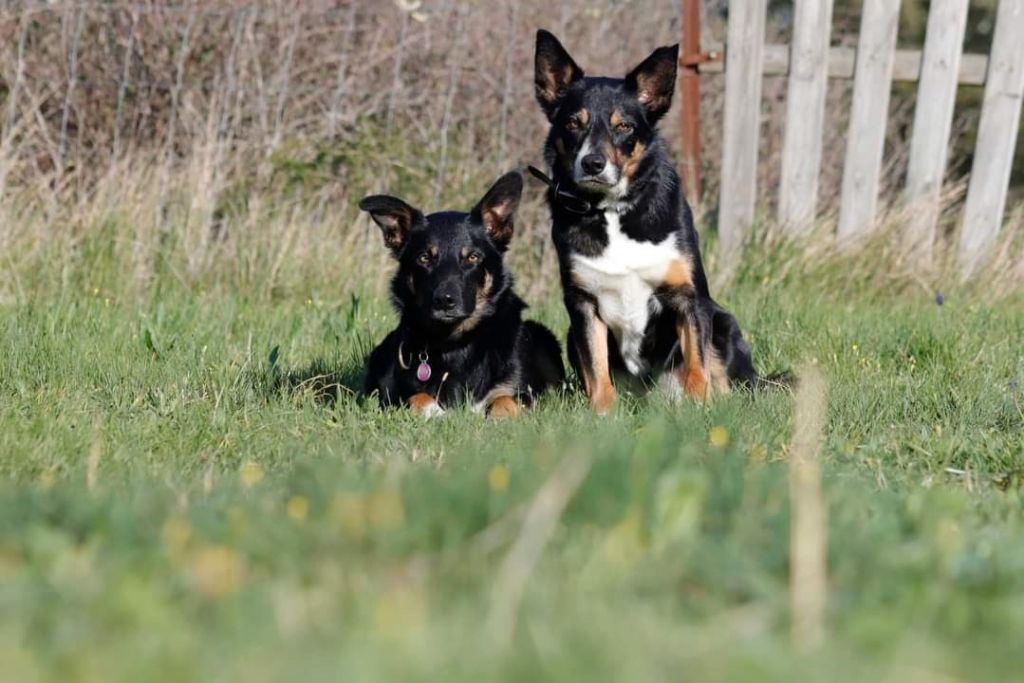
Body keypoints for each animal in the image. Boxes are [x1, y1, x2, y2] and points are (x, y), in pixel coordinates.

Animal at [358, 172, 569, 417]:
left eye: (473, 257)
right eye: (424, 258)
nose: (445, 301)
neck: (456, 342)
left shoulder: (519, 391)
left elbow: (505, 401)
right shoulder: (395, 394)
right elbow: (417, 397)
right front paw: (435, 412)